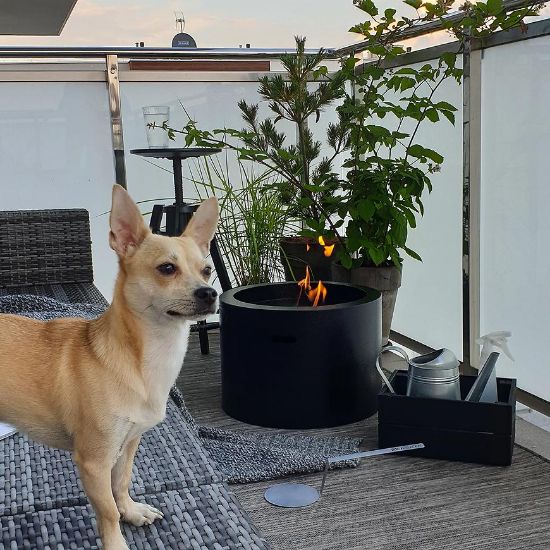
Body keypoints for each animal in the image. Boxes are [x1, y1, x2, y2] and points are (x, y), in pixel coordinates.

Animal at [0, 184, 219, 550]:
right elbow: (107, 511)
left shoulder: (127, 445)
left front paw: (132, 511)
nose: (210, 293)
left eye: (207, 271)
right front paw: (116, 541)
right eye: (166, 269)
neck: (146, 358)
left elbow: (122, 484)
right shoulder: (94, 462)